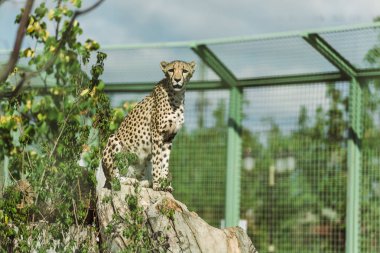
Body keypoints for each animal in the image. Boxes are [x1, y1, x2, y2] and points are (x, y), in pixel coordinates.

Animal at [101, 60, 196, 192]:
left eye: (184, 71)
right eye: (171, 70)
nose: (177, 79)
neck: (177, 96)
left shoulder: (169, 137)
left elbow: (164, 161)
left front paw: (165, 184)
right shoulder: (157, 134)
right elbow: (158, 160)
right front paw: (157, 185)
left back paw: (144, 182)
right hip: (114, 140)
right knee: (114, 179)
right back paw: (129, 181)